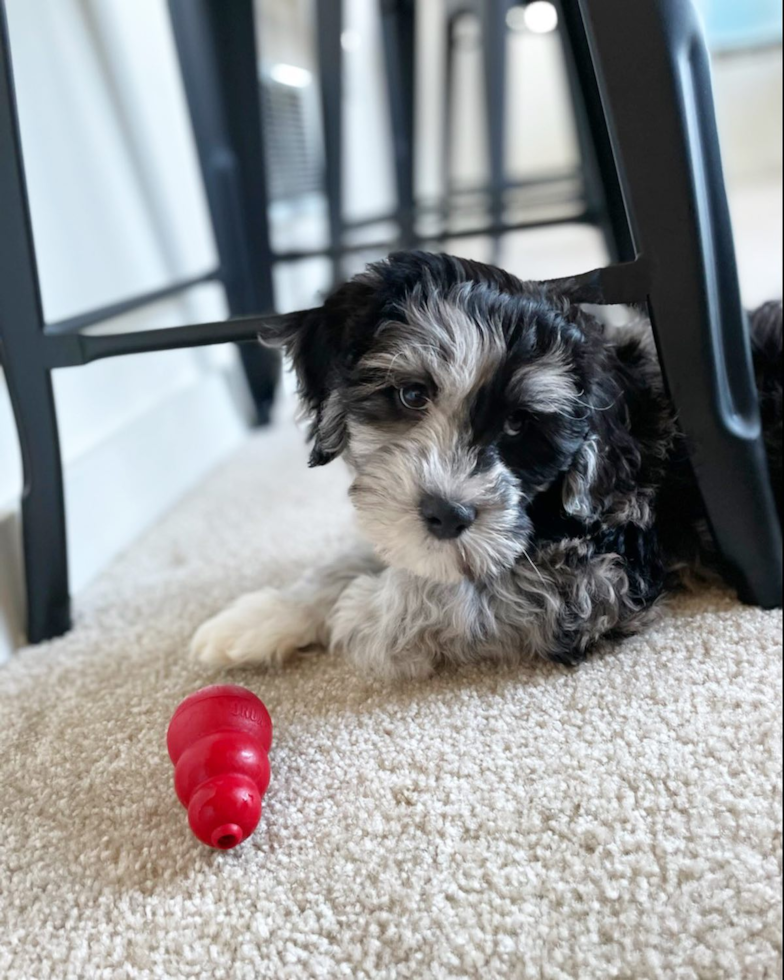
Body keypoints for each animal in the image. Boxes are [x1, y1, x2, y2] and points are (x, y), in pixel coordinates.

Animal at [191, 251, 784, 680]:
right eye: (411, 395)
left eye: (520, 424)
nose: (446, 515)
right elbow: (379, 552)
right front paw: (264, 615)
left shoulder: (600, 573)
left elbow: (471, 593)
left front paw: (364, 612)